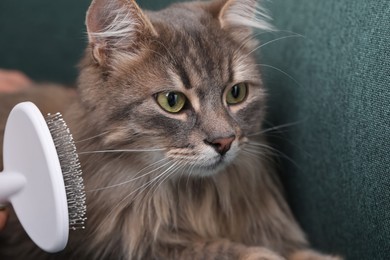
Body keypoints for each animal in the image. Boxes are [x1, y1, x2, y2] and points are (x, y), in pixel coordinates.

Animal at [0, 0, 342, 258]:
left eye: (236, 93)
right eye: (172, 101)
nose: (224, 141)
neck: (192, 199)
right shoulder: (132, 244)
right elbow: (223, 251)